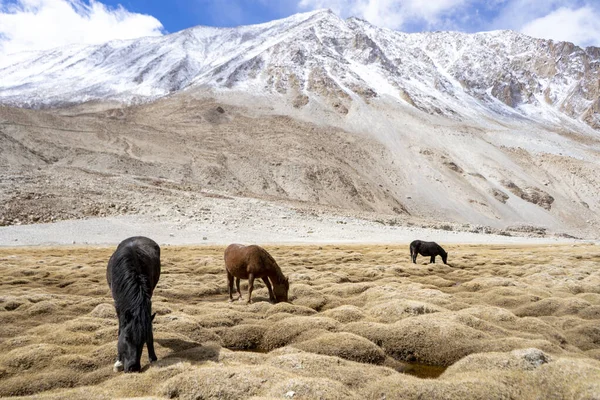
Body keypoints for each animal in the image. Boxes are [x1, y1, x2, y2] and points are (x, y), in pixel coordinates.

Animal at [106, 238, 161, 372]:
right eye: (126, 338)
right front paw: (118, 362)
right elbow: (120, 329)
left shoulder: (148, 300)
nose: (133, 368)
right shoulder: (118, 306)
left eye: (143, 340)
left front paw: (153, 357)